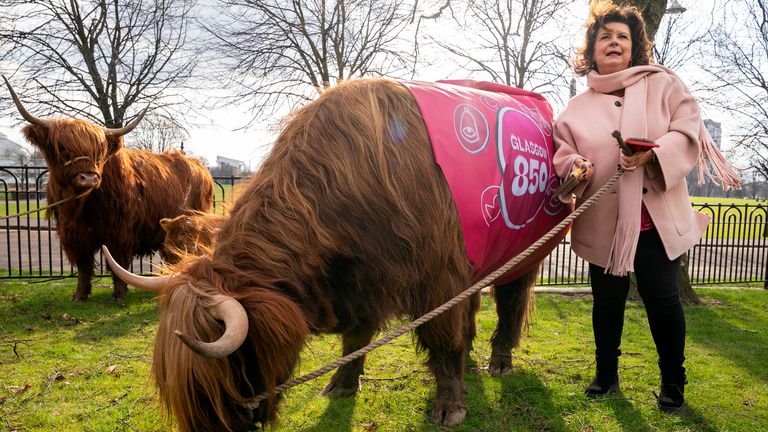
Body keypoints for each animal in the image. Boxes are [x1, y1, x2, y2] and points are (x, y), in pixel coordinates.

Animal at [3, 76, 213, 302]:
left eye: (99, 152)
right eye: (63, 149)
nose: (88, 178)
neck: (80, 205)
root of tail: (200, 166)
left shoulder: (119, 231)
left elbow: (117, 263)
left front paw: (119, 295)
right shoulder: (73, 235)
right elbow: (83, 266)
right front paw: (80, 295)